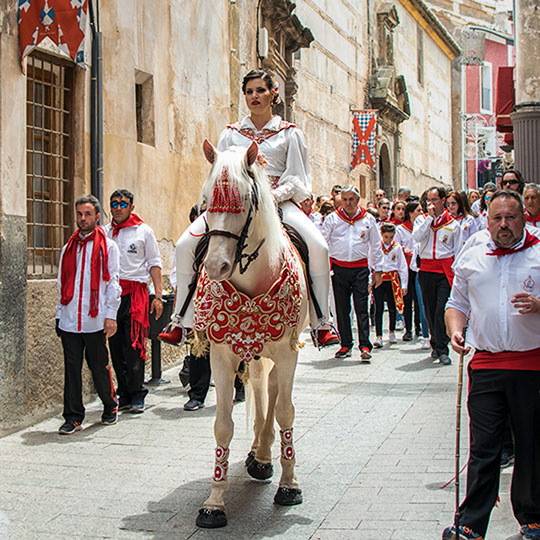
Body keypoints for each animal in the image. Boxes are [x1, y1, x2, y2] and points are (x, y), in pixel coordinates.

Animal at [192, 139, 308, 528]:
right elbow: (222, 425)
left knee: (271, 391)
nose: (215, 266)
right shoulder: (222, 355)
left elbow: (285, 411)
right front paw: (214, 502)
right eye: (205, 200)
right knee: (259, 384)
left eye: (244, 199)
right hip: (254, 351)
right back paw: (259, 452)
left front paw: (289, 485)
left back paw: (265, 455)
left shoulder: (288, 352)